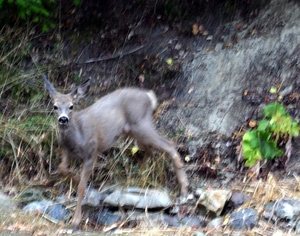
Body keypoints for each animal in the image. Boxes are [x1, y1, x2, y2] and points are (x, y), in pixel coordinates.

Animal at [43, 74, 189, 228]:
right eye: (55, 106)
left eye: (71, 106)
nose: (63, 119)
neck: (76, 137)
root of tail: (149, 96)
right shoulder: (66, 151)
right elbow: (61, 169)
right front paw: (76, 177)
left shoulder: (92, 152)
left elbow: (81, 187)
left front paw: (76, 220)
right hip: (133, 130)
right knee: (150, 149)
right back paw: (140, 178)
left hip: (140, 124)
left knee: (169, 145)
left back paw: (184, 190)